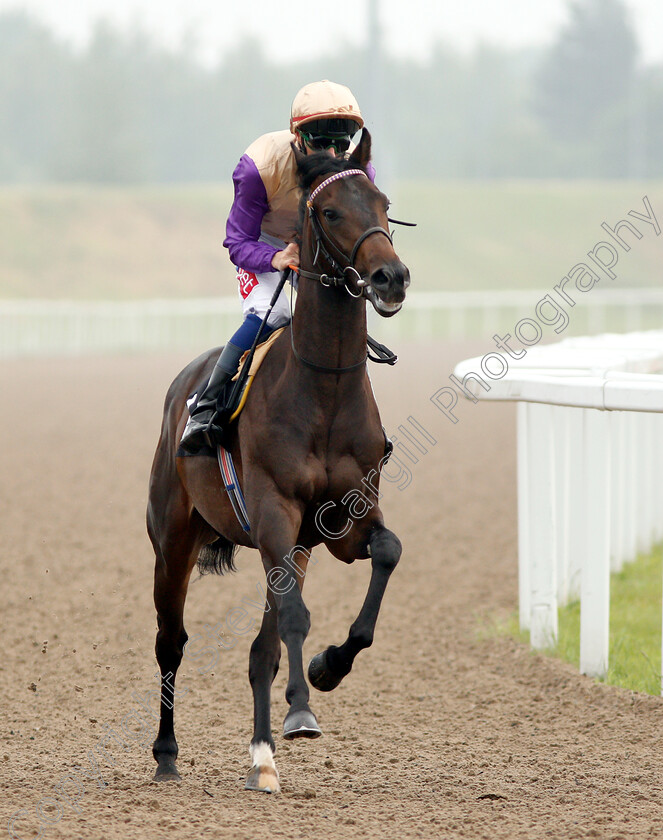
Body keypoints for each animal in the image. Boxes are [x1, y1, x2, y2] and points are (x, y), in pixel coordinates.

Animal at [147, 128, 410, 792]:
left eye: (383, 203)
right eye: (331, 211)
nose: (391, 276)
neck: (324, 389)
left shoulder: (338, 523)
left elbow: (386, 553)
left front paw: (326, 670)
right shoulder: (274, 514)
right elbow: (295, 618)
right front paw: (301, 711)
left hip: (289, 547)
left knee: (258, 651)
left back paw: (262, 759)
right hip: (174, 538)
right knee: (170, 641)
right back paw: (166, 754)